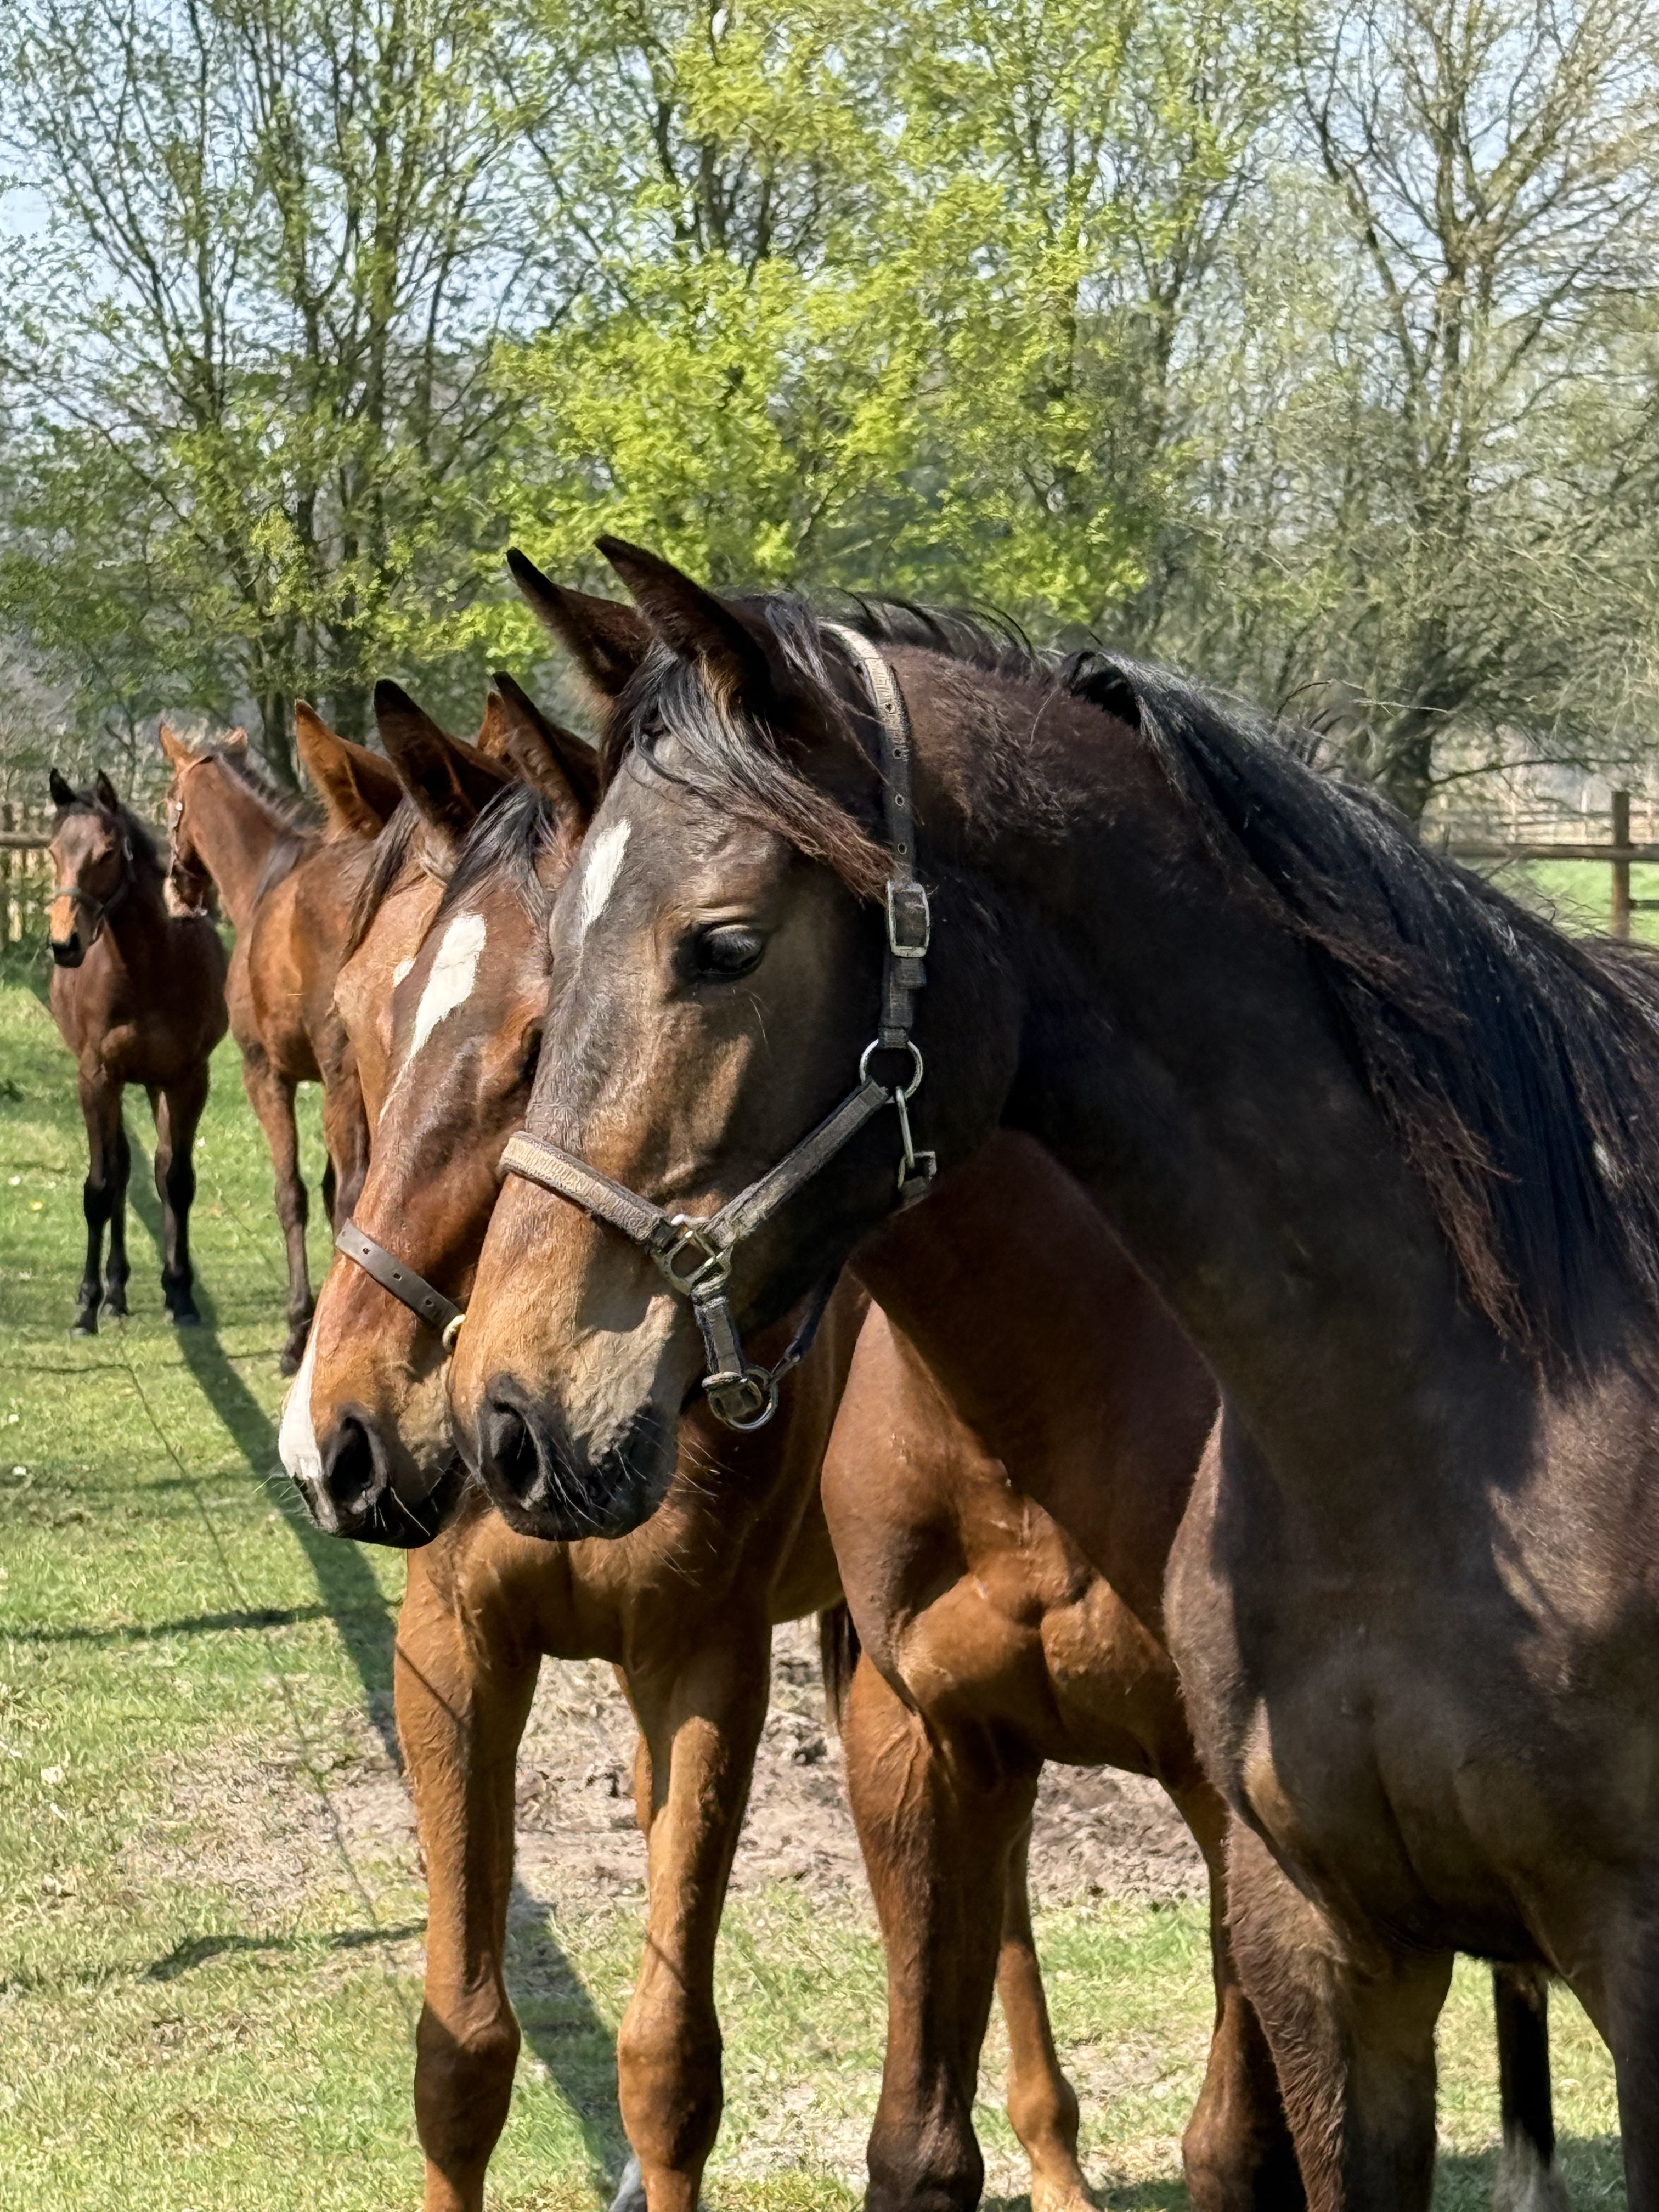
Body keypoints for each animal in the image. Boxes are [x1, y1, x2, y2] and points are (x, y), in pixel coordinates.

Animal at [44, 768, 228, 1332]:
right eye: (52, 850)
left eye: (107, 852)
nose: (65, 944)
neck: (148, 968)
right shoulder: (96, 1076)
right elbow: (100, 1187)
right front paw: (86, 1304)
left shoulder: (188, 1078)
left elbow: (177, 1180)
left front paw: (182, 1295)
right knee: (121, 1170)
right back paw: (113, 1291)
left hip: (151, 1083)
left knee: (155, 1168)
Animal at [160, 713, 402, 1369]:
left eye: (168, 802)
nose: (176, 892)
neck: (269, 878)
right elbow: (323, 1189)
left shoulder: (265, 1074)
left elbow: (292, 1194)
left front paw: (299, 1328)